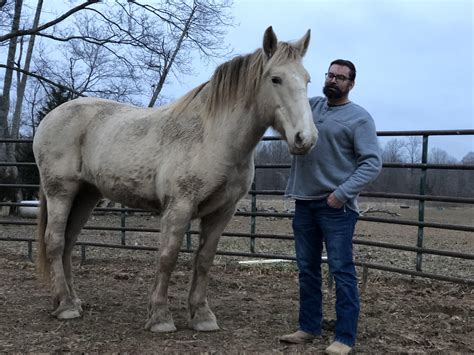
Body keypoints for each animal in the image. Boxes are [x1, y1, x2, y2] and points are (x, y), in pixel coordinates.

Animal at [33, 27, 318, 334]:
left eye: (307, 79)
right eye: (275, 78)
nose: (305, 138)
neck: (212, 137)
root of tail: (50, 118)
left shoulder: (222, 212)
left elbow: (204, 260)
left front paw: (202, 315)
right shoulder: (179, 207)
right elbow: (167, 257)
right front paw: (160, 316)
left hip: (86, 195)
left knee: (69, 241)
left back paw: (70, 300)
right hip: (61, 192)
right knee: (55, 241)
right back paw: (66, 307)